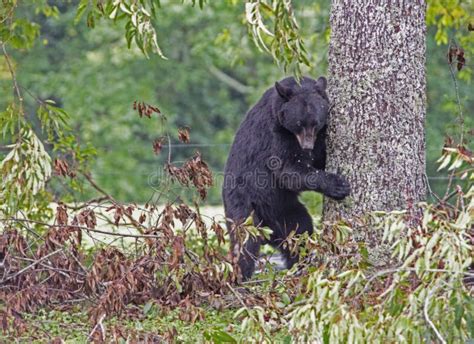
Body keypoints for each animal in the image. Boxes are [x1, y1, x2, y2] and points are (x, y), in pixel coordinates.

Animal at [221, 75, 348, 280]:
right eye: (299, 123)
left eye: (316, 122)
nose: (307, 146)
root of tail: (268, 228)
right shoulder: (275, 134)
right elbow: (287, 170)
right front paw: (337, 185)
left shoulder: (318, 137)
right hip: (243, 205)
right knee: (245, 243)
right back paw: (241, 277)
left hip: (283, 211)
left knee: (299, 230)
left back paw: (298, 264)